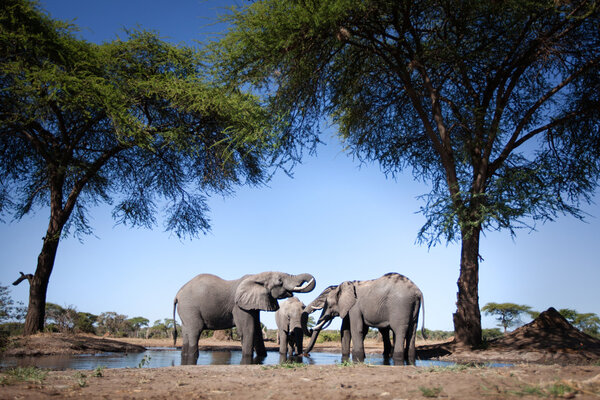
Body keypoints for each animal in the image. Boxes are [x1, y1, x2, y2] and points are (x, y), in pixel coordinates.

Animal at [172, 270, 316, 364]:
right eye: (280, 281)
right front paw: (247, 358)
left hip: (185, 311)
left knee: (186, 332)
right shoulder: (239, 306)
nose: (304, 354)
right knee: (194, 331)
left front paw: (262, 357)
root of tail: (177, 294)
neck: (257, 276)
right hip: (190, 308)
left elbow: (257, 329)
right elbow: (248, 330)